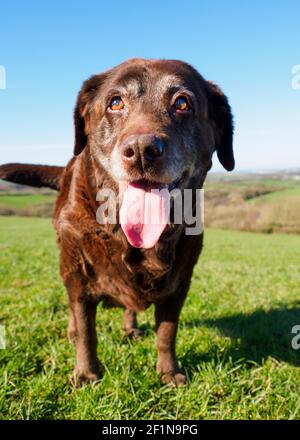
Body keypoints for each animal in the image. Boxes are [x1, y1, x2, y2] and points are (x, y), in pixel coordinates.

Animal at [0, 58, 234, 384]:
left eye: (182, 103)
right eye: (115, 103)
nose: (141, 150)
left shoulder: (179, 284)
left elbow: (167, 333)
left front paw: (169, 372)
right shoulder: (78, 274)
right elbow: (86, 329)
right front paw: (86, 374)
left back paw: (130, 327)